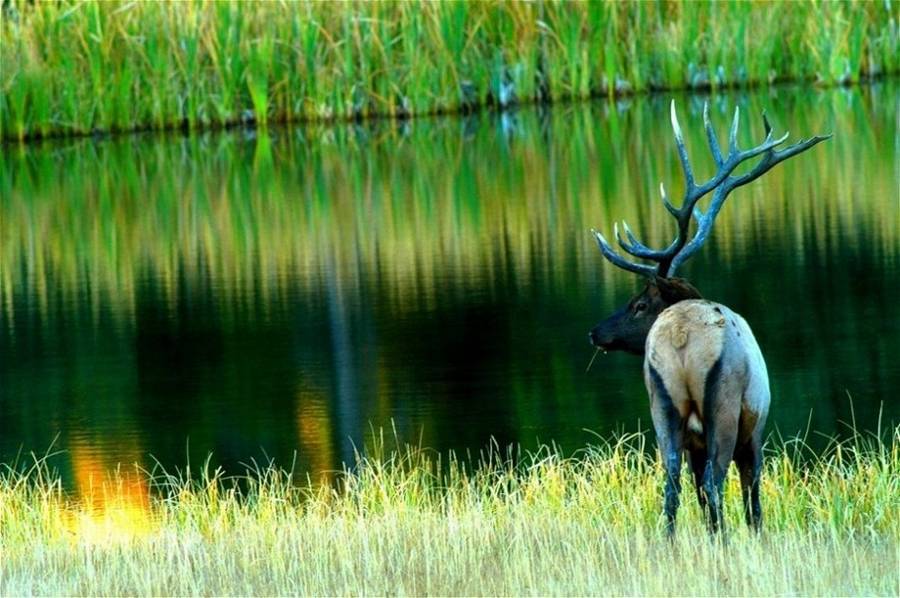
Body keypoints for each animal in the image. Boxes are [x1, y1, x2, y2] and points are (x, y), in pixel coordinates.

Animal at [592, 101, 828, 536]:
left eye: (638, 305)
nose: (595, 333)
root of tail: (681, 338)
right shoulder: (756, 430)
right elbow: (753, 496)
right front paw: (755, 535)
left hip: (662, 405)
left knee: (673, 485)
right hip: (725, 407)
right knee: (715, 483)